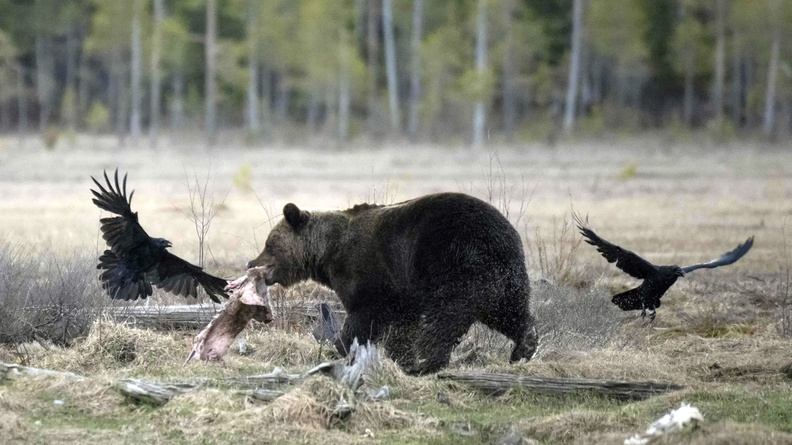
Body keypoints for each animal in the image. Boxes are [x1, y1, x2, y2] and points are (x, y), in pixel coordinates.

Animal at [247, 192, 538, 374]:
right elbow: (402, 326)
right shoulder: (402, 293)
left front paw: (341, 346)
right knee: (510, 312)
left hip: (453, 262)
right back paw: (524, 346)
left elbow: (364, 316)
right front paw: (399, 356)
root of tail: (500, 233)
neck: (326, 253)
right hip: (505, 275)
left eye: (269, 244)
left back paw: (426, 362)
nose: (251, 262)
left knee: (445, 316)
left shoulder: (369, 276)